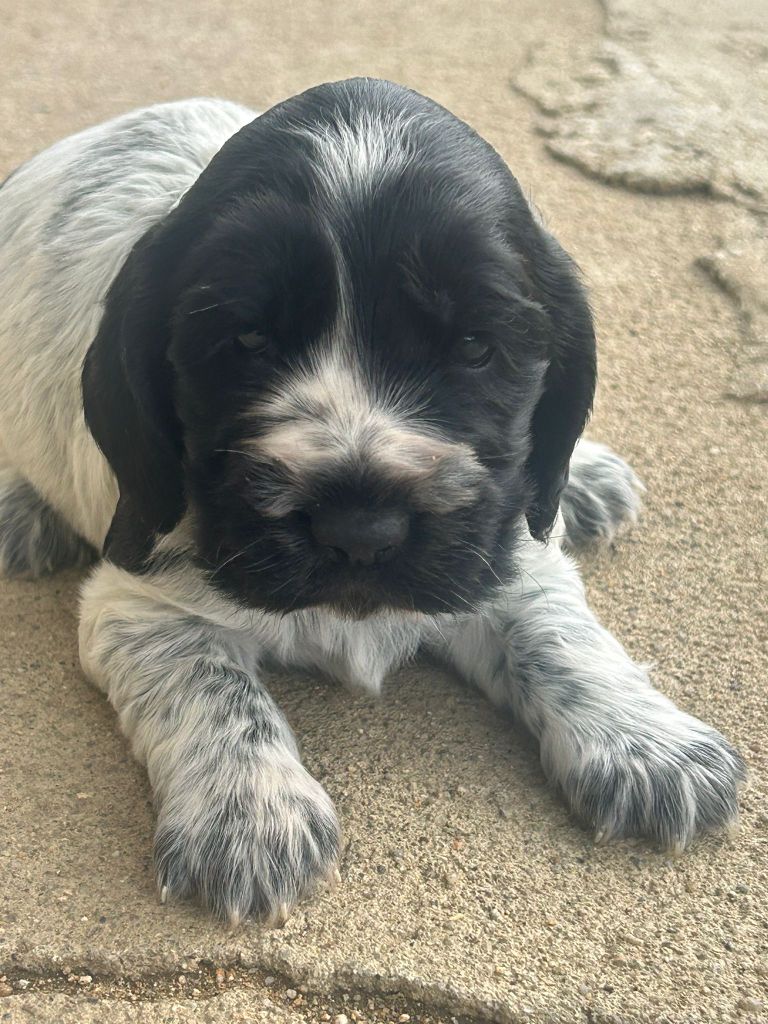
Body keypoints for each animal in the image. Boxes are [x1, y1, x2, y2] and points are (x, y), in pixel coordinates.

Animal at [0, 78, 745, 925]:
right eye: (247, 342)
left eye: (476, 347)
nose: (361, 529)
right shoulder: (141, 602)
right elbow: (213, 690)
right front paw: (249, 814)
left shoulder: (499, 551)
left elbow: (558, 634)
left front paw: (646, 743)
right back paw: (24, 511)